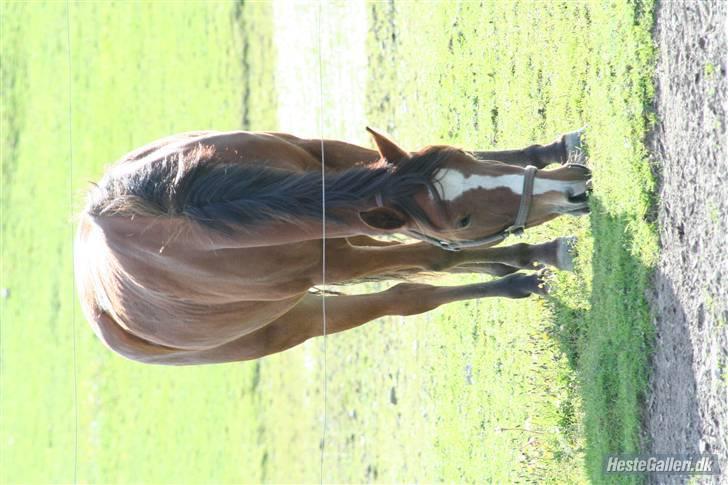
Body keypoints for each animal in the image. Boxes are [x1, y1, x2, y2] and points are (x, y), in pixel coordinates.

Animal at [74, 128, 591, 365]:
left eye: (464, 157)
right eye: (463, 219)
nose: (573, 189)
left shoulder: (324, 157)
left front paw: (551, 152)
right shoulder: (339, 265)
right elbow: (436, 254)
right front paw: (541, 253)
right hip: (301, 320)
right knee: (406, 296)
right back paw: (516, 277)